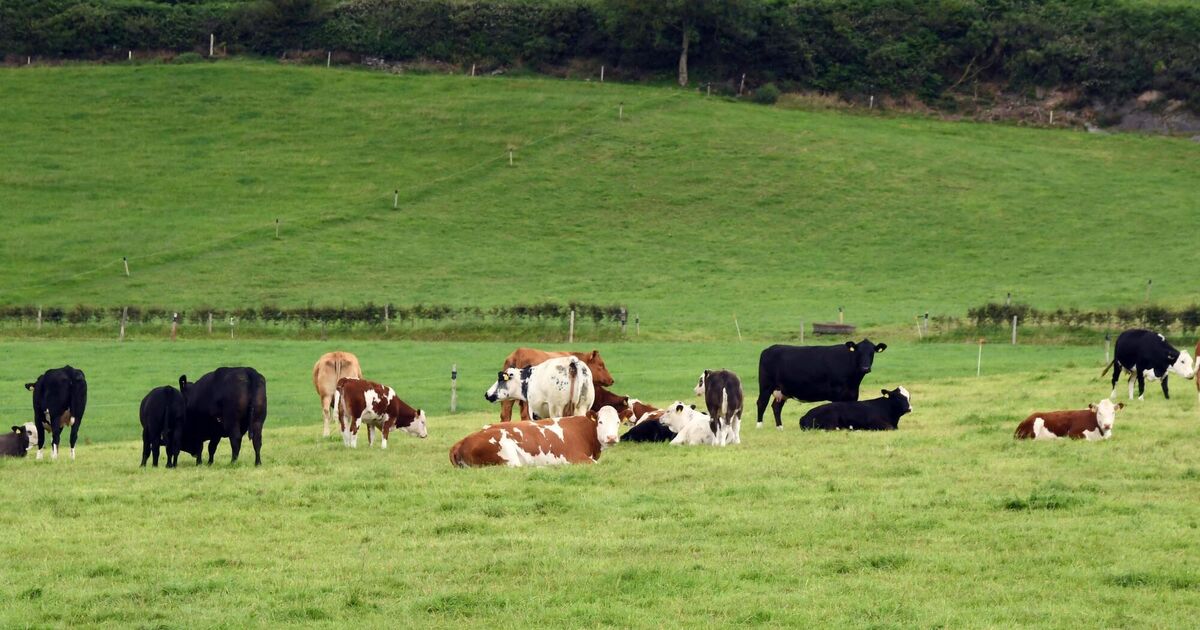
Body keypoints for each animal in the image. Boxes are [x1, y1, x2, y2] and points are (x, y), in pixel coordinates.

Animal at [448, 407, 620, 467]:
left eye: (618, 422)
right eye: (600, 421)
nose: (612, 437)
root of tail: (461, 442)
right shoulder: (576, 457)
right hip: (508, 455)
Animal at [756, 340, 887, 430]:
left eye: (872, 352)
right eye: (858, 352)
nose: (865, 368)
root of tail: (770, 348)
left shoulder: (852, 395)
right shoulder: (837, 395)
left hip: (783, 390)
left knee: (776, 407)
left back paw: (780, 428)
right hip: (766, 386)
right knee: (761, 403)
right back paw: (759, 426)